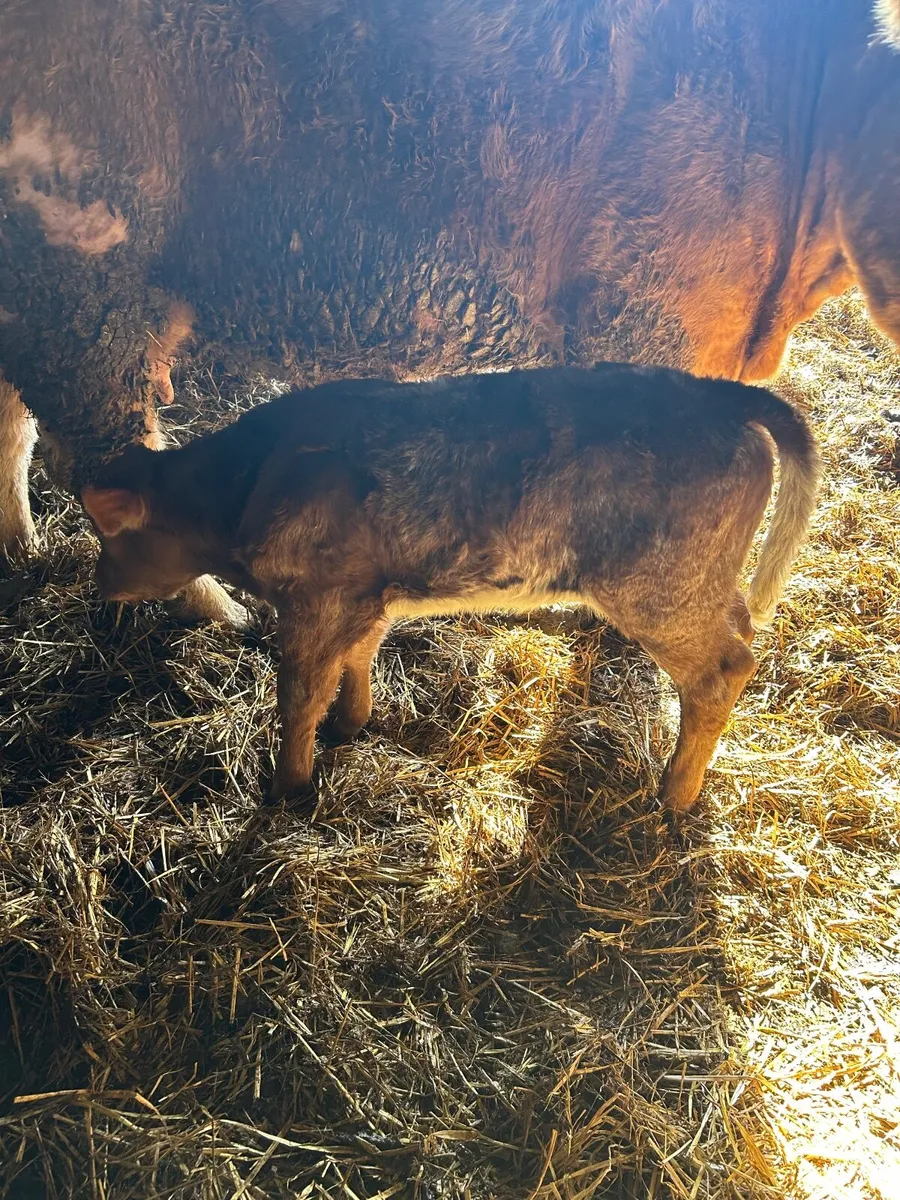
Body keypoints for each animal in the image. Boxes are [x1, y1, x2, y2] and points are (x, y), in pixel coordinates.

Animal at [79, 364, 819, 810]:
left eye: (110, 536)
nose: (101, 583)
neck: (251, 483)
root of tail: (723, 395)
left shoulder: (318, 600)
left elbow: (298, 696)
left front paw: (288, 784)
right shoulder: (364, 594)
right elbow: (359, 656)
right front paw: (353, 722)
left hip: (660, 588)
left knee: (725, 668)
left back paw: (675, 792)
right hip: (706, 577)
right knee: (742, 627)